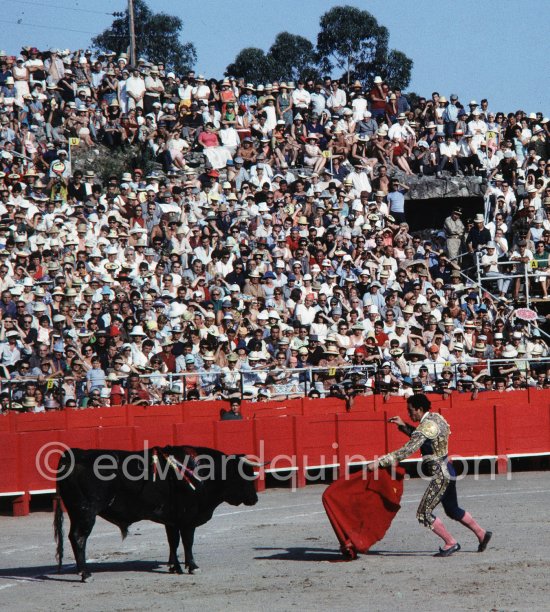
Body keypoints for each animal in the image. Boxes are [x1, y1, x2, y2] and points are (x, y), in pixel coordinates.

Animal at [56, 448, 260, 580]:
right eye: (245, 474)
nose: (255, 498)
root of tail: (73, 455)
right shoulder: (188, 518)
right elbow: (187, 542)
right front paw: (192, 567)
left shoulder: (172, 520)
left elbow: (173, 542)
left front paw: (174, 567)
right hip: (86, 512)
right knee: (79, 538)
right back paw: (85, 574)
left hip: (75, 512)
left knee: (73, 537)